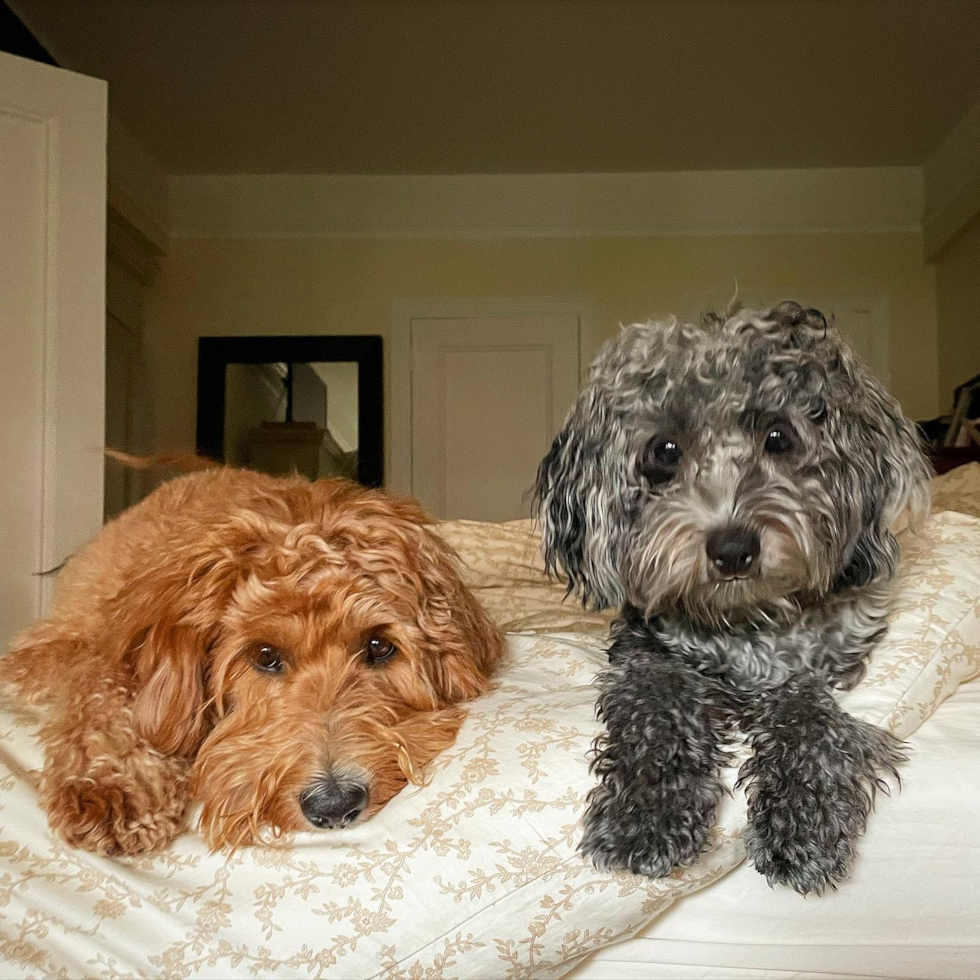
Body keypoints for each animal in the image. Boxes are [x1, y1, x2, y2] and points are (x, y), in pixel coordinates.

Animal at [3, 468, 502, 848]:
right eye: (265, 655)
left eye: (379, 646)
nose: (335, 806)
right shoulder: (73, 652)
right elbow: (101, 688)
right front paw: (112, 785)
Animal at [540, 298, 932, 896]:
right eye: (664, 451)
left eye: (779, 437)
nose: (733, 549)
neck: (743, 618)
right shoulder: (648, 655)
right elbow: (655, 714)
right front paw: (646, 816)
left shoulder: (810, 669)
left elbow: (809, 720)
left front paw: (803, 818)